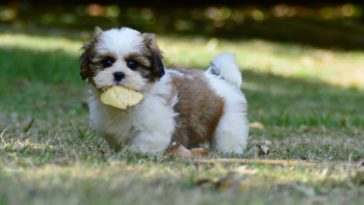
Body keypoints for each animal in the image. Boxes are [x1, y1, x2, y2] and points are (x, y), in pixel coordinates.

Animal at [80, 27, 249, 155]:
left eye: (132, 64)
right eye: (107, 62)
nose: (118, 74)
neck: (130, 100)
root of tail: (221, 78)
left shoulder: (155, 125)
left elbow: (148, 141)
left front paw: (138, 153)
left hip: (230, 121)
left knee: (228, 136)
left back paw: (229, 151)